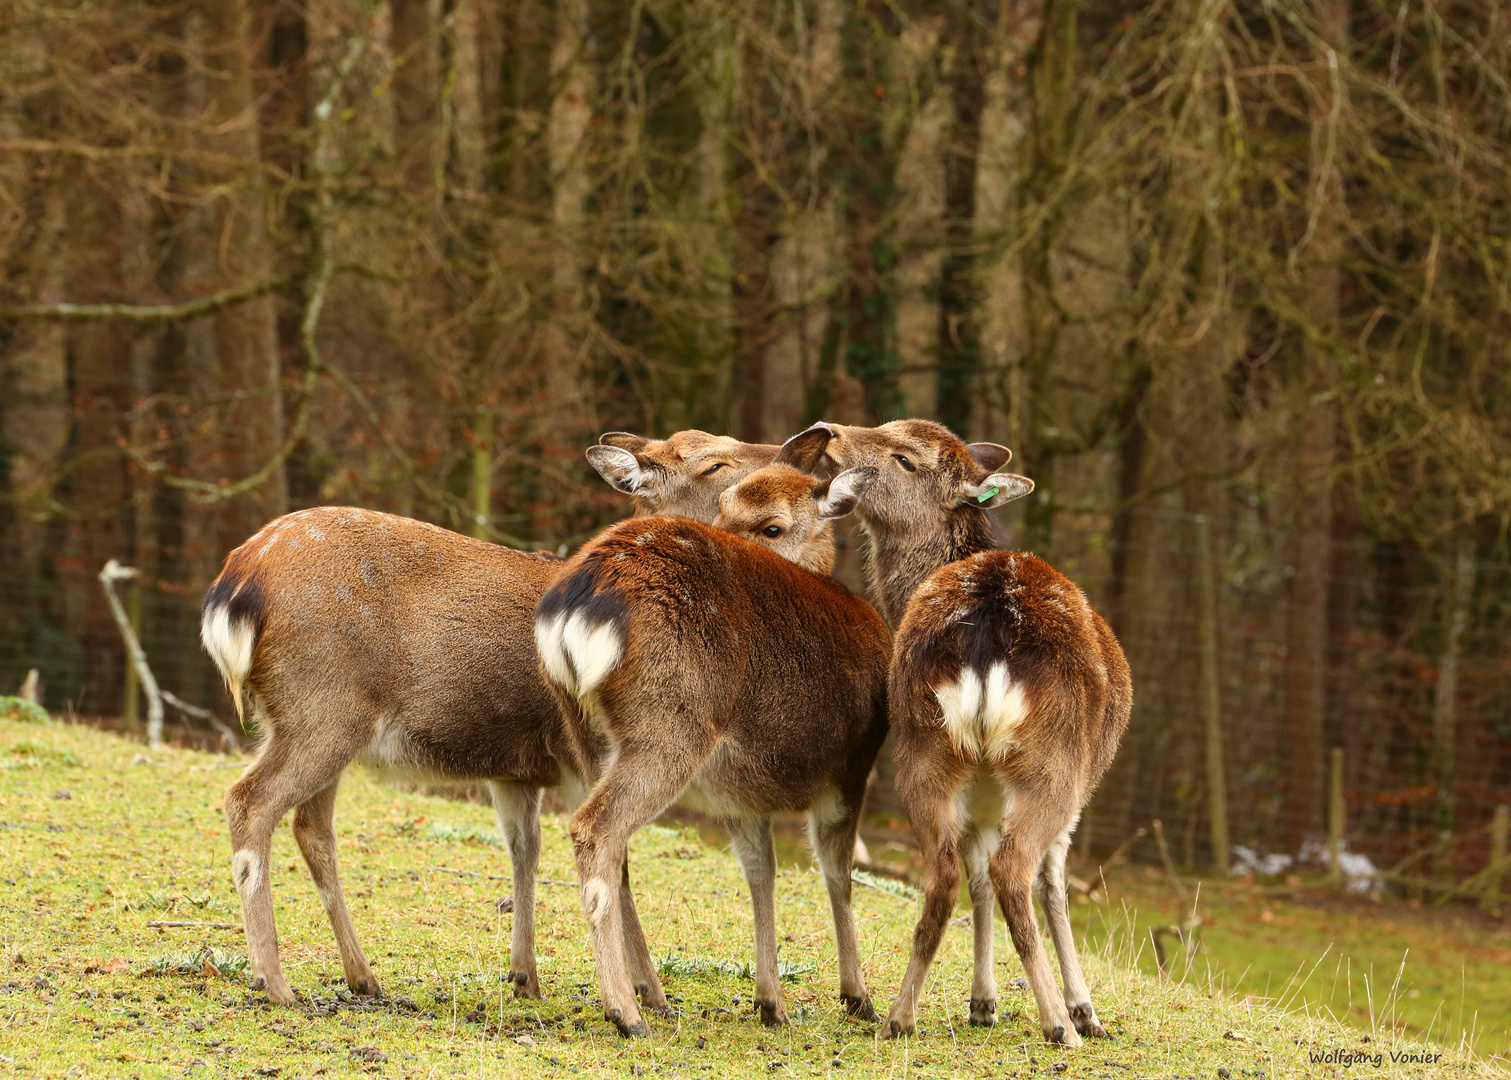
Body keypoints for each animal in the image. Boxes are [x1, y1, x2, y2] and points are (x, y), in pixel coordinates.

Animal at [200, 428, 779, 1002]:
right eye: (713, 463)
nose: (785, 453)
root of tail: (235, 586)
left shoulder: (515, 770)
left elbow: (526, 849)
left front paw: (525, 975)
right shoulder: (582, 750)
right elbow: (618, 864)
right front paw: (649, 993)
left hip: (309, 720)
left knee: (312, 827)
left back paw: (363, 976)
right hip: (321, 707)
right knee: (249, 802)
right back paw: (273, 981)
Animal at [531, 428, 882, 1039]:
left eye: (771, 527)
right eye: (715, 471)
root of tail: (579, 605)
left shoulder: (744, 792)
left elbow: (762, 871)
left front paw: (772, 1002)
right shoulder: (850, 767)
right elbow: (837, 873)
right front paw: (857, 997)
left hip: (587, 732)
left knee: (615, 848)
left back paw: (646, 996)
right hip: (672, 723)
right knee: (596, 829)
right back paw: (626, 1012)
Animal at [809, 419, 1130, 1045]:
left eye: (903, 456)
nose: (830, 432)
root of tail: (988, 626)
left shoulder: (980, 794)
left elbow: (977, 876)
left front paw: (983, 1002)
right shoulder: (1078, 793)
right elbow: (1054, 885)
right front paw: (1084, 1008)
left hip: (922, 749)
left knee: (944, 874)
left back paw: (898, 1015)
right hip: (1053, 766)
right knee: (1015, 871)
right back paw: (1061, 1025)